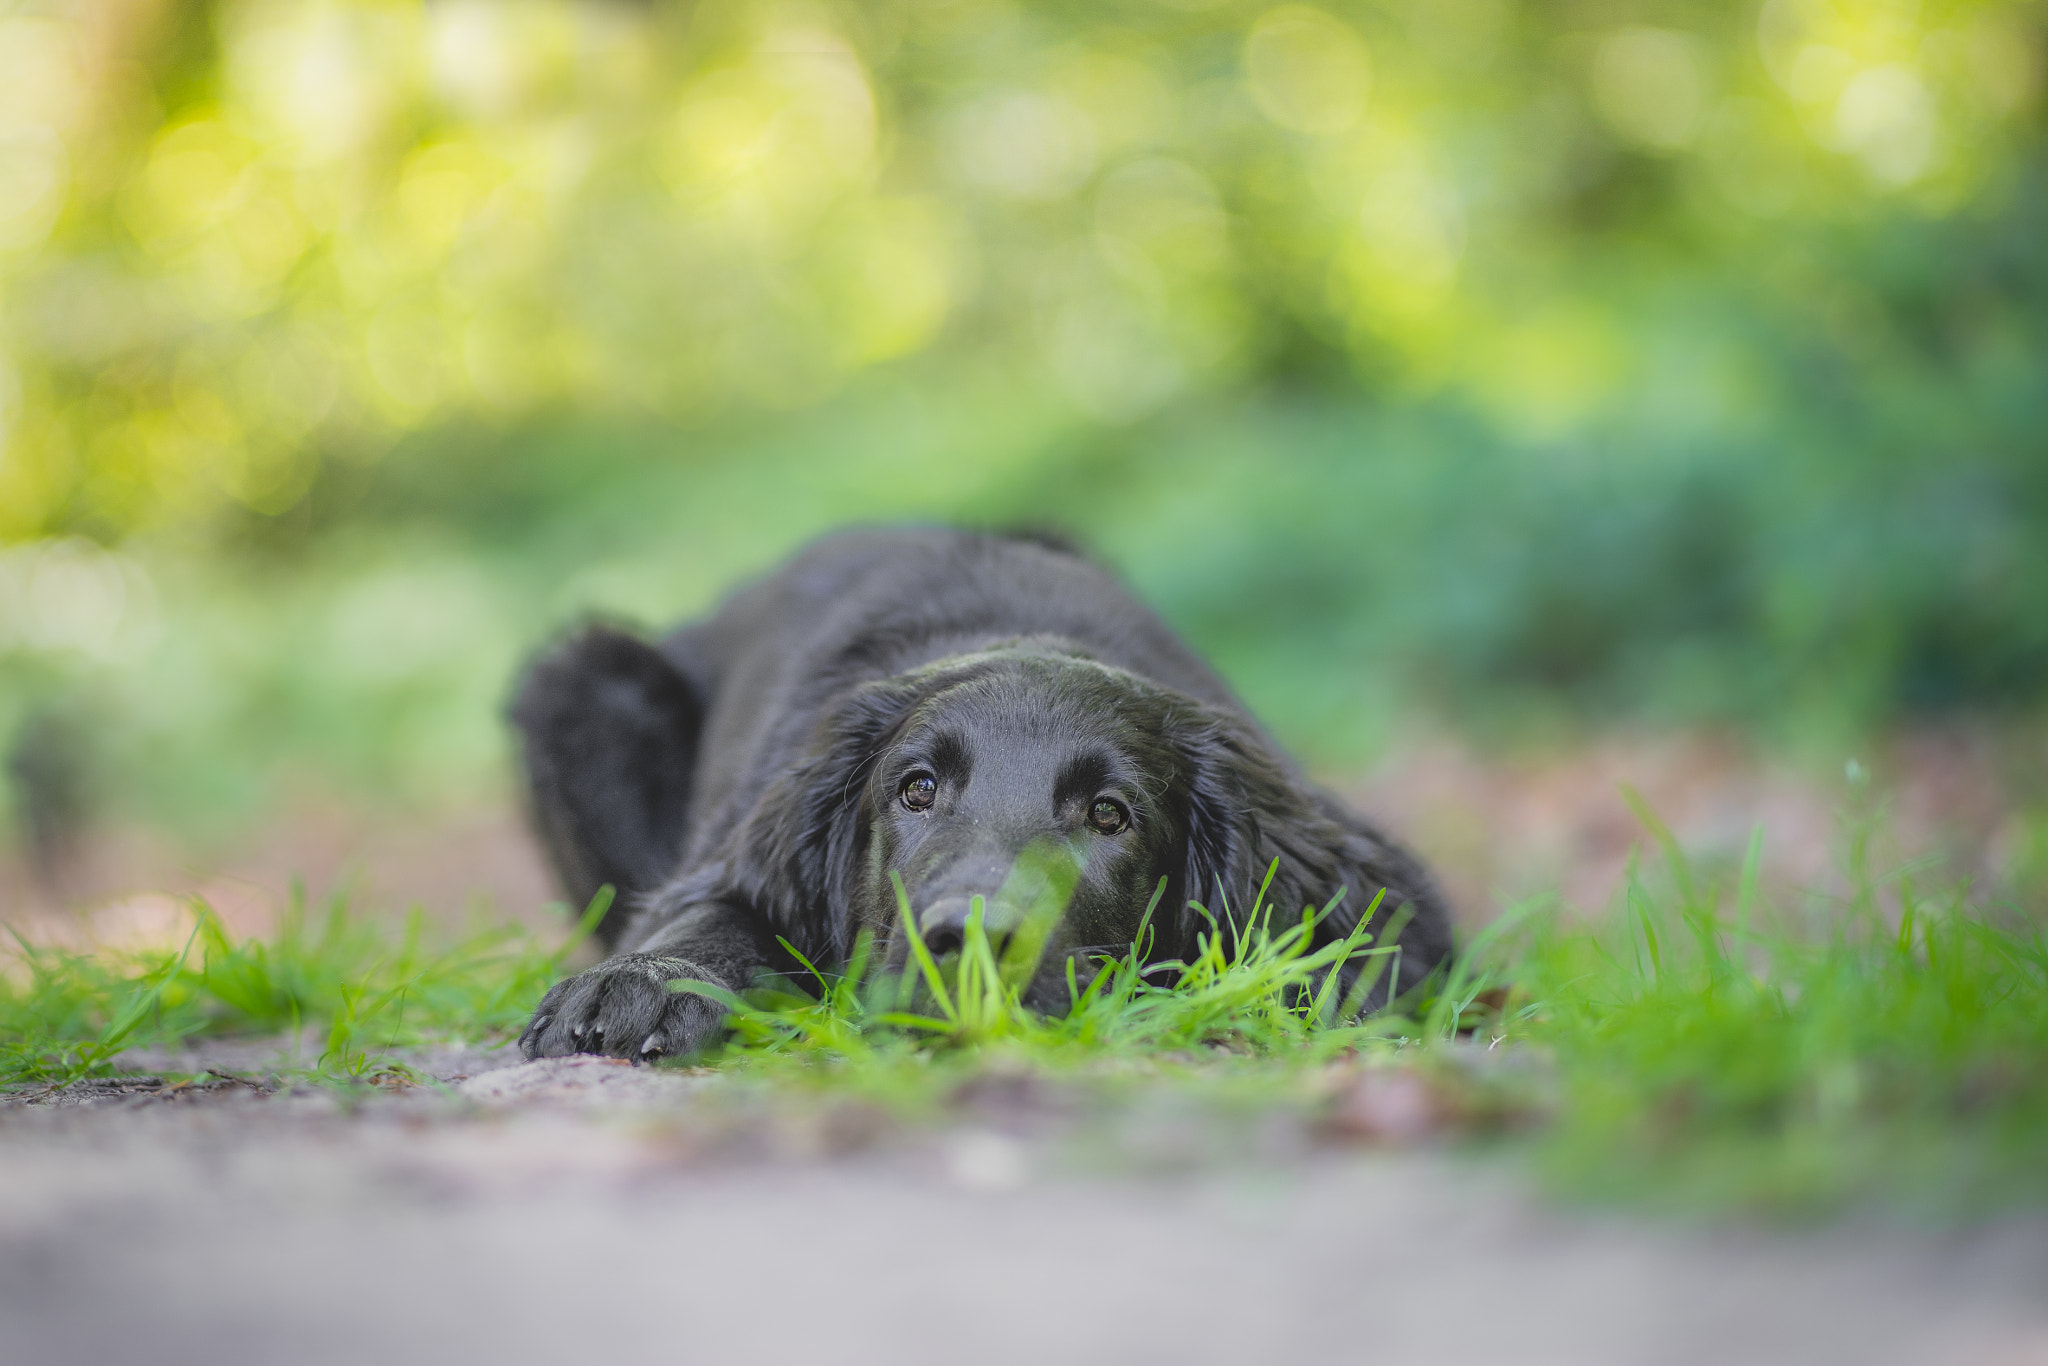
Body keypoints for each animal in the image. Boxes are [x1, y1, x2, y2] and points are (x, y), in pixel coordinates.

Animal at [512, 528, 1458, 1064]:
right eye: (917, 790)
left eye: (1110, 815)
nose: (965, 943)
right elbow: (709, 912)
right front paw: (645, 980)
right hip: (584, 682)